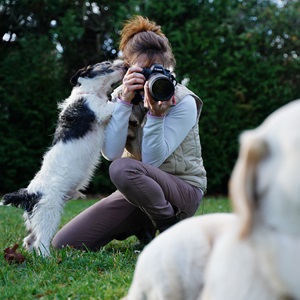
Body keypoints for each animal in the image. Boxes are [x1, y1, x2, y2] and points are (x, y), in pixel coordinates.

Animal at [1, 59, 125, 256]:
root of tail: (28, 193)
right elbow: (115, 103)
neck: (88, 92)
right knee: (40, 242)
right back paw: (47, 259)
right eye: (106, 64)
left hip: (38, 218)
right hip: (49, 213)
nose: (125, 64)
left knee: (29, 239)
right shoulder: (100, 109)